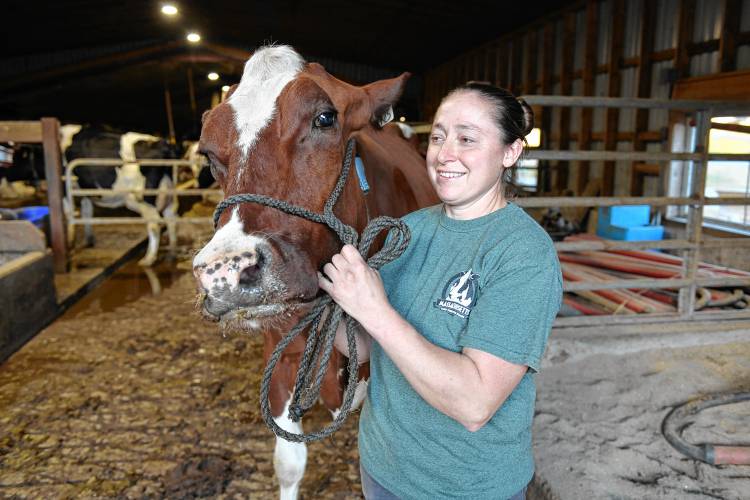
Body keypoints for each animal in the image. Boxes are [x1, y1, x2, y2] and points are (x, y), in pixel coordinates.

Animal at [64, 125, 181, 266]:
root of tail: (163, 143)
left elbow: (69, 213)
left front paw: (70, 245)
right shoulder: (85, 191)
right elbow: (87, 212)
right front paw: (89, 240)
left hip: (140, 198)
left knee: (154, 225)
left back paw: (148, 259)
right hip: (168, 192)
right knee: (171, 217)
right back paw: (172, 253)